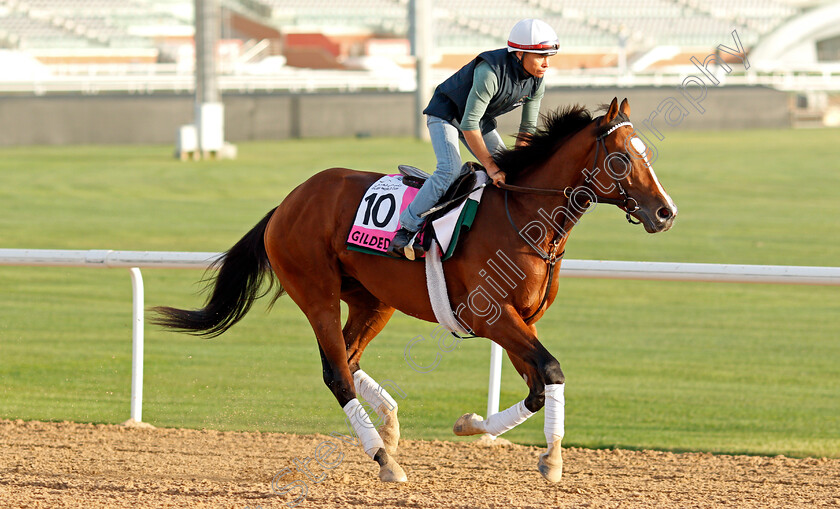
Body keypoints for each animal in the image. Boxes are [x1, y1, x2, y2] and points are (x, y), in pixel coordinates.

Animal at [153, 97, 676, 482]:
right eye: (622, 157)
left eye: (648, 154)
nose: (666, 212)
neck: (525, 217)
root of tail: (287, 202)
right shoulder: (490, 315)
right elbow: (550, 370)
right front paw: (550, 461)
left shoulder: (520, 320)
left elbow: (537, 387)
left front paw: (475, 426)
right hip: (316, 292)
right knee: (336, 372)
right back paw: (385, 460)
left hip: (373, 300)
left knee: (349, 357)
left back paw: (388, 428)